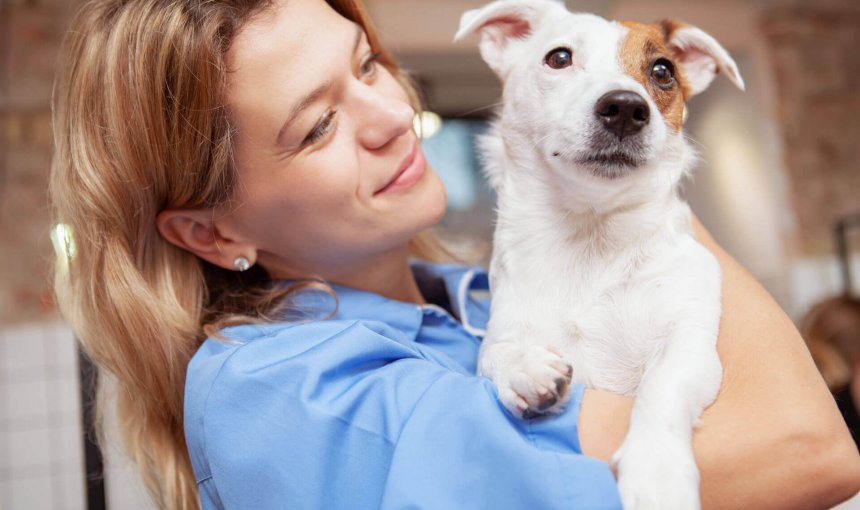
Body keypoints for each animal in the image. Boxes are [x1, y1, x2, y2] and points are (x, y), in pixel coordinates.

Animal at [454, 1, 744, 508]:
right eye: (559, 58)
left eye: (662, 71)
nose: (626, 107)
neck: (590, 234)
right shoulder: (504, 326)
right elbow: (493, 352)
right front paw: (523, 368)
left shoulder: (689, 346)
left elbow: (661, 389)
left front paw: (656, 474)